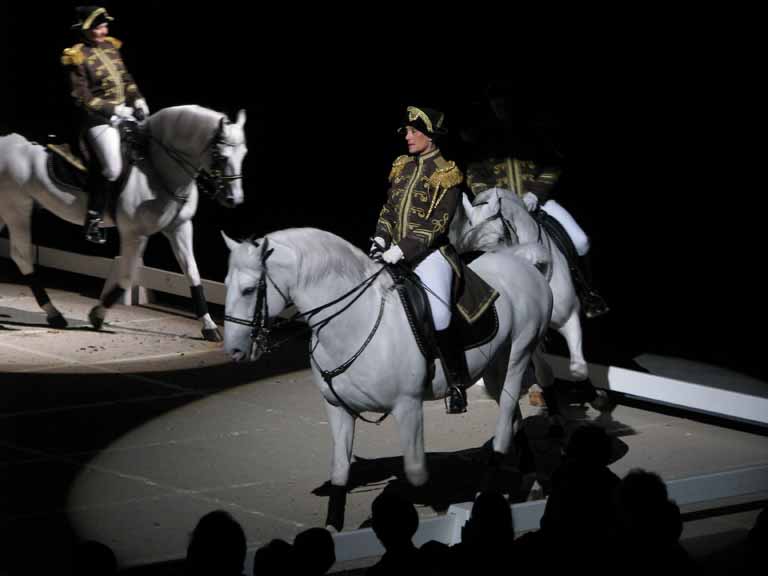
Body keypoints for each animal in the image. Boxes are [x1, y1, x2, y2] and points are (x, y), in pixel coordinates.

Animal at [0, 105, 246, 340]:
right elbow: (127, 276)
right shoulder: (134, 232)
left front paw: (209, 327)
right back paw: (54, 314)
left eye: (244, 154)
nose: (234, 199)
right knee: (22, 256)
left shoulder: (180, 227)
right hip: (16, 208)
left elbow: (193, 273)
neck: (157, 167)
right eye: (222, 156)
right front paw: (97, 315)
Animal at [222, 227, 552, 528]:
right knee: (514, 418)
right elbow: (340, 470)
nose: (234, 350)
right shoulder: (338, 408)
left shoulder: (408, 406)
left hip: (518, 356)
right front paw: (333, 525)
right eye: (226, 284)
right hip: (495, 369)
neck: (355, 321)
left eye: (248, 290)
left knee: (505, 424)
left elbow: (416, 472)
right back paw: (531, 481)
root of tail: (524, 264)